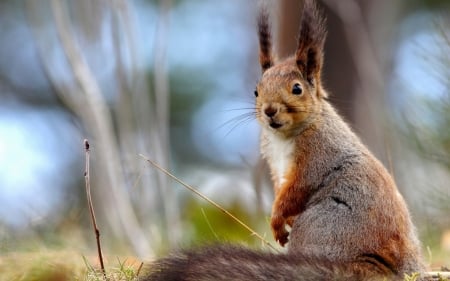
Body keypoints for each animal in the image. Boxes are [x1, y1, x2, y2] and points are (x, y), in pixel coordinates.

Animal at [143, 1, 426, 278]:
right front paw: (280, 223)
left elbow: (296, 189)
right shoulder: (275, 164)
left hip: (323, 225)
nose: (269, 110)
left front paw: (276, 219)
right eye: (256, 91)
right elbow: (282, 190)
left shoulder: (317, 155)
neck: (283, 138)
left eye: (297, 89)